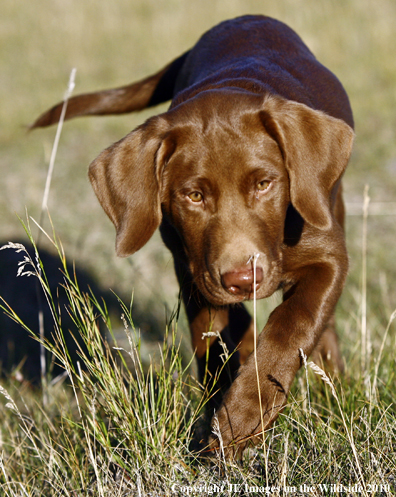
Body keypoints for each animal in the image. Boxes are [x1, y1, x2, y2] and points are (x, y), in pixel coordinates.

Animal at [34, 15, 354, 458]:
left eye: (264, 184)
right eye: (194, 196)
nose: (243, 280)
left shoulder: (327, 255)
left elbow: (294, 323)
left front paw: (244, 413)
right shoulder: (192, 270)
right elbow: (213, 341)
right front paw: (223, 420)